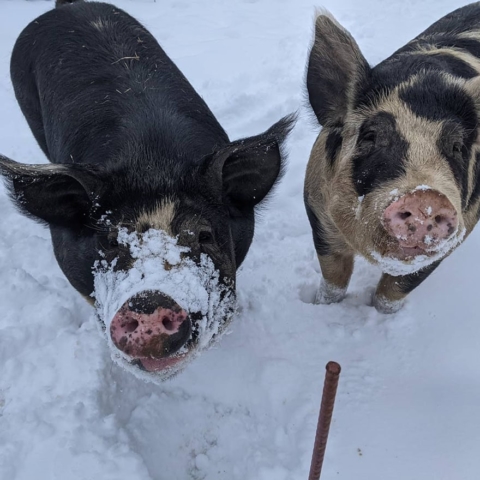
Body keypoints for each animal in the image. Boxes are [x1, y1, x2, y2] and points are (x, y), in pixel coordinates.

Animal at [306, 3, 480, 316]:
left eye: (457, 146)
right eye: (370, 136)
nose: (426, 198)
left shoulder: (461, 232)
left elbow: (393, 292)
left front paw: (381, 314)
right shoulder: (318, 213)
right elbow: (333, 279)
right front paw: (321, 307)